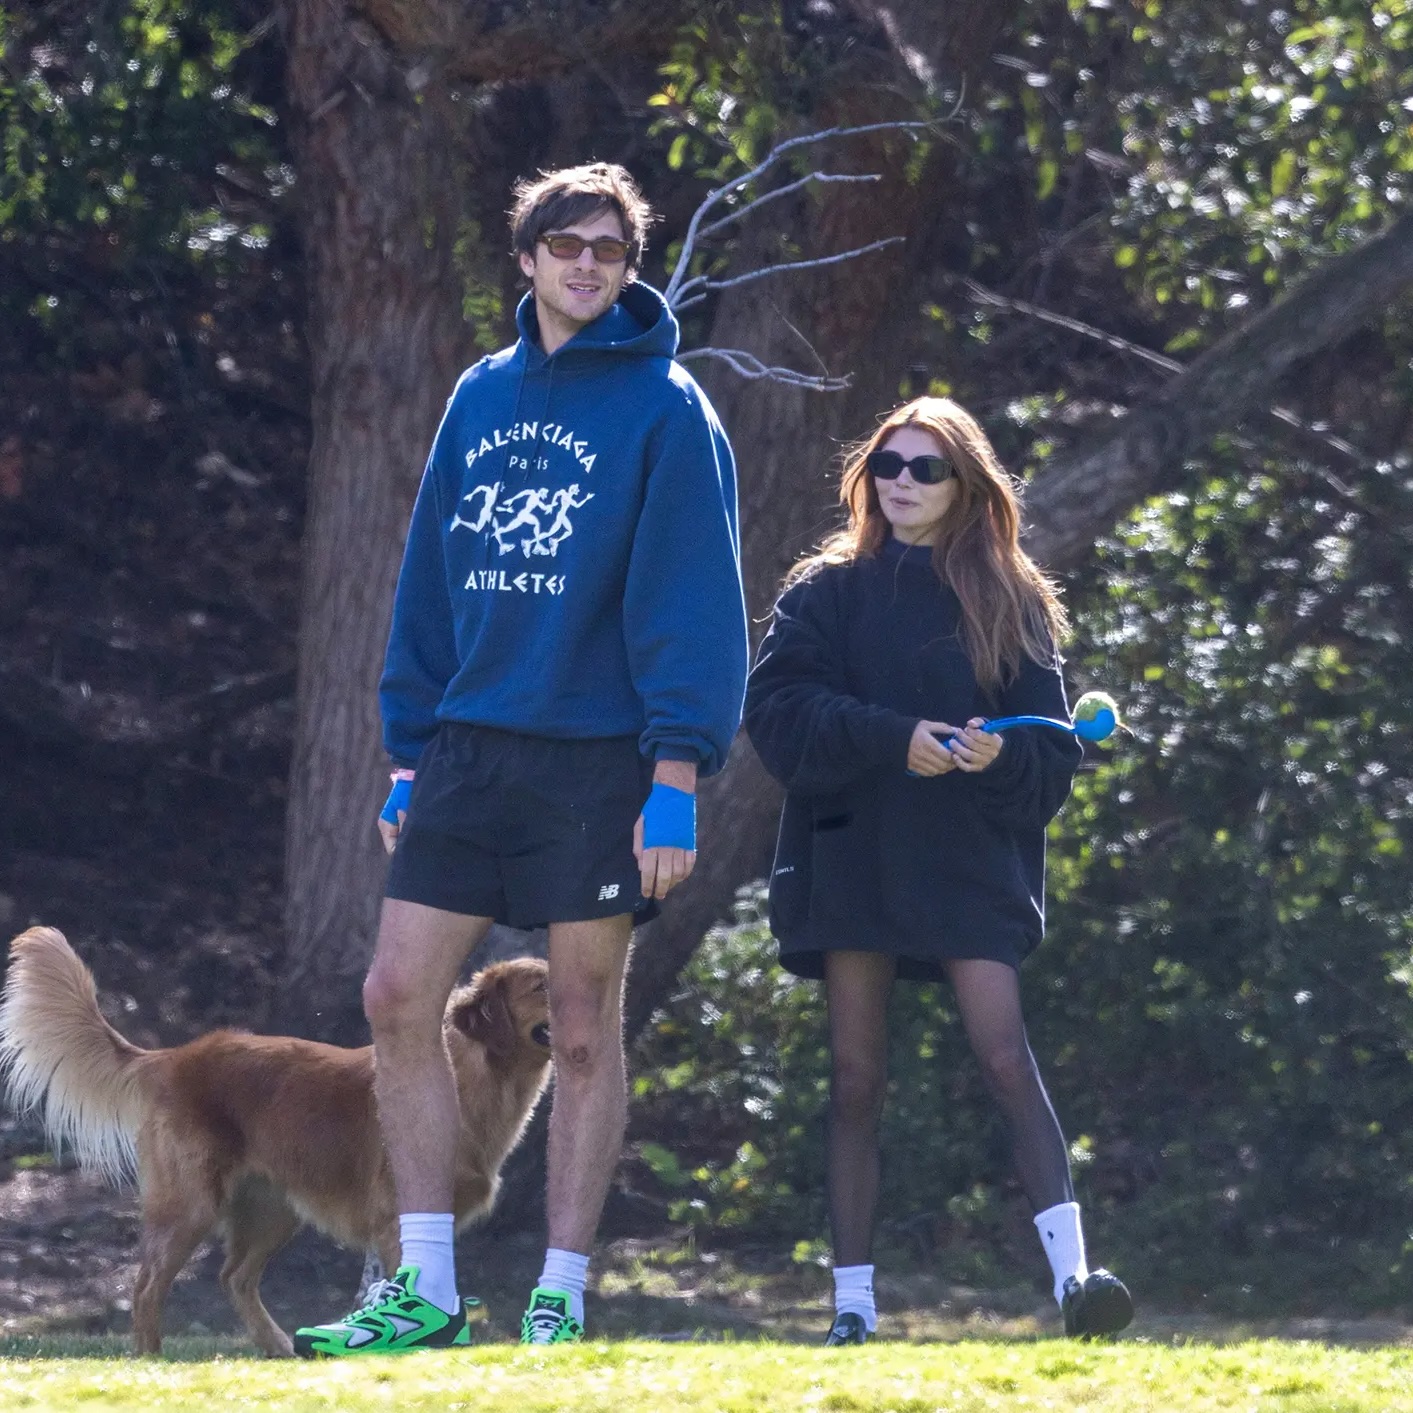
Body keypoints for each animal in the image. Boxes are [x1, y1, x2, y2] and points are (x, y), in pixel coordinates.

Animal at [0, 926, 551, 1356]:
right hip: (192, 1203)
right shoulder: (397, 1213)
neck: (473, 1081)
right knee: (147, 1285)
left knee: (234, 1277)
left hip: (272, 1208)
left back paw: (277, 1345)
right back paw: (151, 1358)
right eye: (540, 984)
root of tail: (176, 1056)